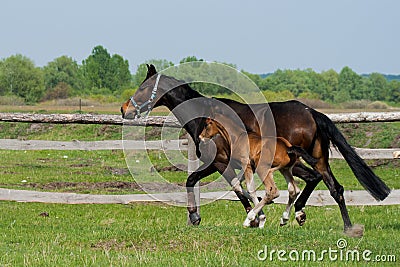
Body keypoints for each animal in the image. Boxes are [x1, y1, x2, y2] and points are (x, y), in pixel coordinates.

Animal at [122, 65, 390, 237]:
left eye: (143, 88)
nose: (125, 109)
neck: (205, 117)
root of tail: (312, 112)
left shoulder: (221, 162)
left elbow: (229, 187)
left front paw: (251, 217)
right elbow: (238, 188)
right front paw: (256, 215)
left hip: (299, 161)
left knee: (322, 184)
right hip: (312, 160)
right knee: (331, 186)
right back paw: (320, 220)